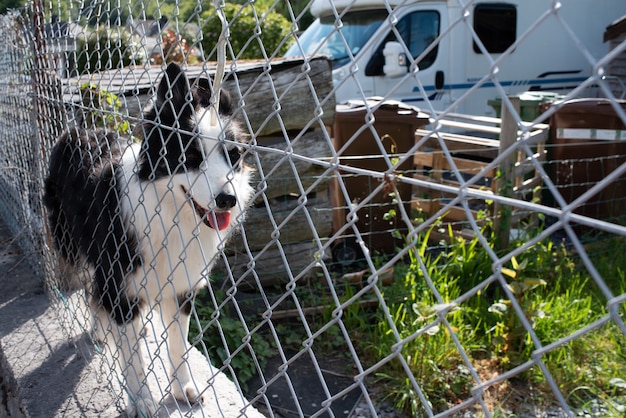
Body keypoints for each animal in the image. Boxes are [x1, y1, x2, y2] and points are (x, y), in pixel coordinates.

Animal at [44, 62, 254, 414]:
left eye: (233, 155)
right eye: (190, 158)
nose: (227, 200)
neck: (168, 212)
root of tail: (77, 131)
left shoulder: (180, 286)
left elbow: (178, 345)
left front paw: (184, 388)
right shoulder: (118, 283)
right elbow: (132, 358)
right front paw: (141, 399)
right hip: (71, 241)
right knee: (86, 286)